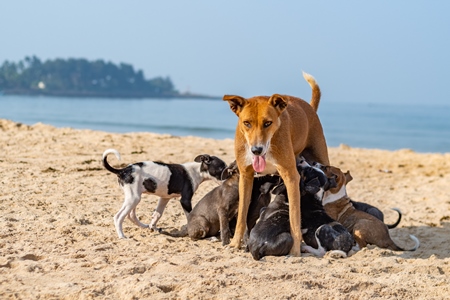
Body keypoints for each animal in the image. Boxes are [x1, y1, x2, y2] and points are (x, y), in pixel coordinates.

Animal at [223, 71, 328, 255]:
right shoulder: (246, 176)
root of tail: (309, 107)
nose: (256, 150)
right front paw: (235, 243)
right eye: (246, 123)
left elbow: (294, 218)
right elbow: (242, 213)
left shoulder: (291, 177)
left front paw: (295, 250)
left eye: (268, 123)